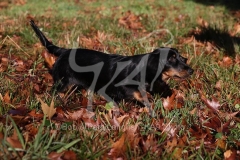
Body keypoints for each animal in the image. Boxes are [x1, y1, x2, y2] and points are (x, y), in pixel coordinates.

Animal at [29, 20, 193, 105]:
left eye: (181, 57)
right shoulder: (122, 86)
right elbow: (136, 93)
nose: (191, 70)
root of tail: (65, 51)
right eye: (171, 58)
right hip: (62, 82)